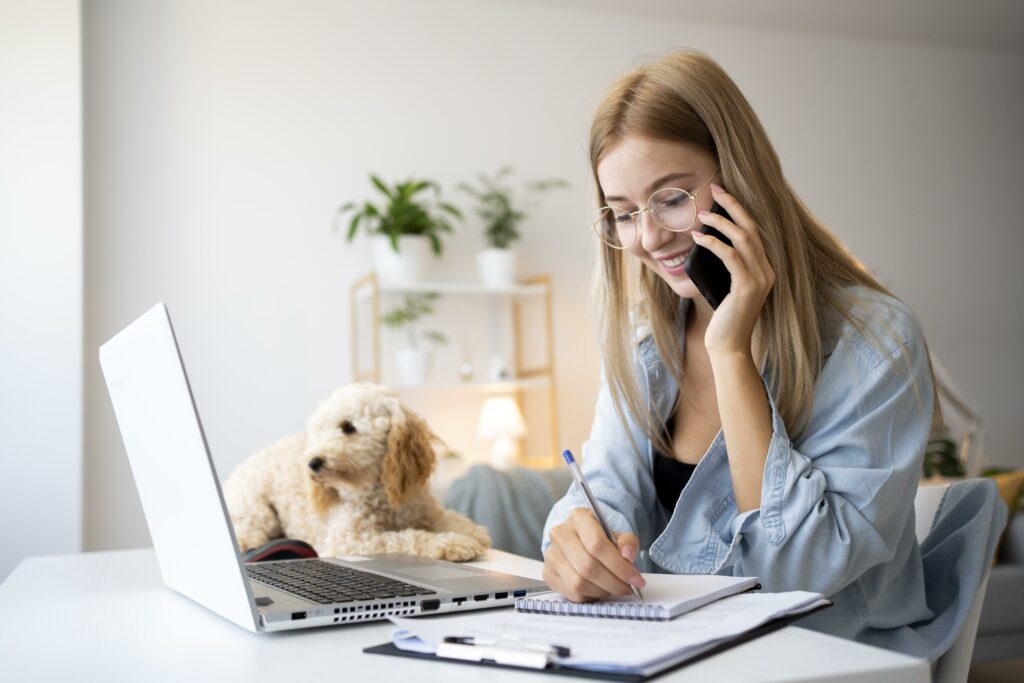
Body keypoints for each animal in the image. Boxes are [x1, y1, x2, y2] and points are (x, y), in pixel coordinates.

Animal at [226, 382, 489, 565]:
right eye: (318, 431)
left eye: (348, 427)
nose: (312, 462)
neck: (382, 493)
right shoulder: (350, 540)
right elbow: (406, 538)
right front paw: (452, 542)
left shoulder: (426, 510)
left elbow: (450, 519)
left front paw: (473, 532)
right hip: (256, 507)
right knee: (246, 529)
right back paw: (248, 542)